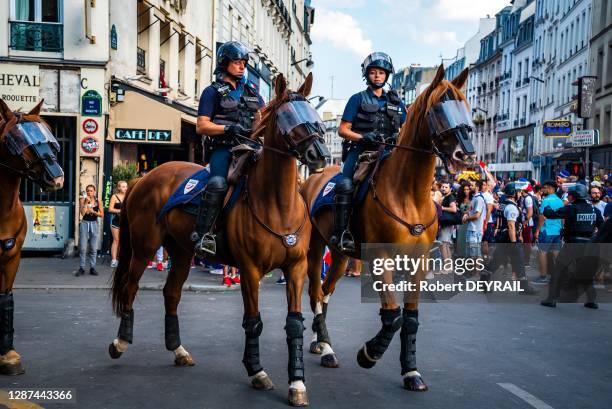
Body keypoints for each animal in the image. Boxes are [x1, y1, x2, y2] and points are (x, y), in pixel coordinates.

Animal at [110, 72, 330, 404]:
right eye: (287, 116)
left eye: (313, 113)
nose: (321, 154)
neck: (278, 203)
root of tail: (144, 177)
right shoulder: (250, 271)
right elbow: (253, 321)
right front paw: (257, 371)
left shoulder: (296, 268)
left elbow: (294, 324)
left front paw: (297, 384)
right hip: (144, 247)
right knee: (130, 287)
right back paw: (121, 342)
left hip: (182, 252)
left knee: (171, 293)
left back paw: (178, 350)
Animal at [300, 66, 474, 388]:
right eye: (438, 109)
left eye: (465, 106)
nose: (465, 155)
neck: (409, 192)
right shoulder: (381, 259)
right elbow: (392, 316)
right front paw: (369, 353)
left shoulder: (418, 263)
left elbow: (410, 318)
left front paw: (411, 371)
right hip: (315, 250)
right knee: (316, 292)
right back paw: (327, 349)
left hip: (340, 255)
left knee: (326, 291)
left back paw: (321, 342)